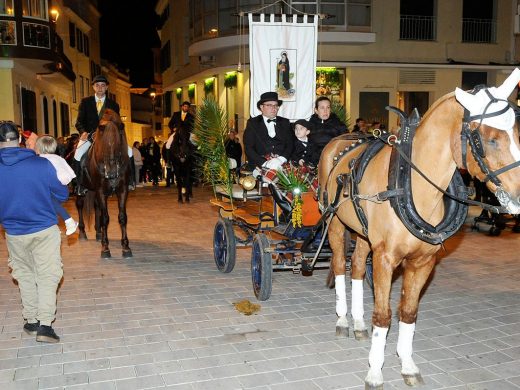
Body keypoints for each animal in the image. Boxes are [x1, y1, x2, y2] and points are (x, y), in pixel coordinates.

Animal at [75, 108, 132, 258]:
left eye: (118, 145)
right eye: (103, 146)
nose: (111, 174)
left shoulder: (122, 190)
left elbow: (122, 217)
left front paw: (126, 247)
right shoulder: (101, 191)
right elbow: (105, 218)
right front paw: (105, 248)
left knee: (96, 207)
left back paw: (98, 233)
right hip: (80, 188)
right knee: (79, 205)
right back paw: (82, 233)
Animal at [318, 68, 520, 388]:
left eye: (516, 130)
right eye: (488, 139)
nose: (519, 196)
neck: (411, 185)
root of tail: (340, 139)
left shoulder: (424, 262)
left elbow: (409, 312)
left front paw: (407, 364)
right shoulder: (385, 258)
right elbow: (384, 314)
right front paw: (375, 370)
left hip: (362, 233)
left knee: (358, 267)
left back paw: (359, 322)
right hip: (335, 224)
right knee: (340, 265)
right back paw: (342, 319)